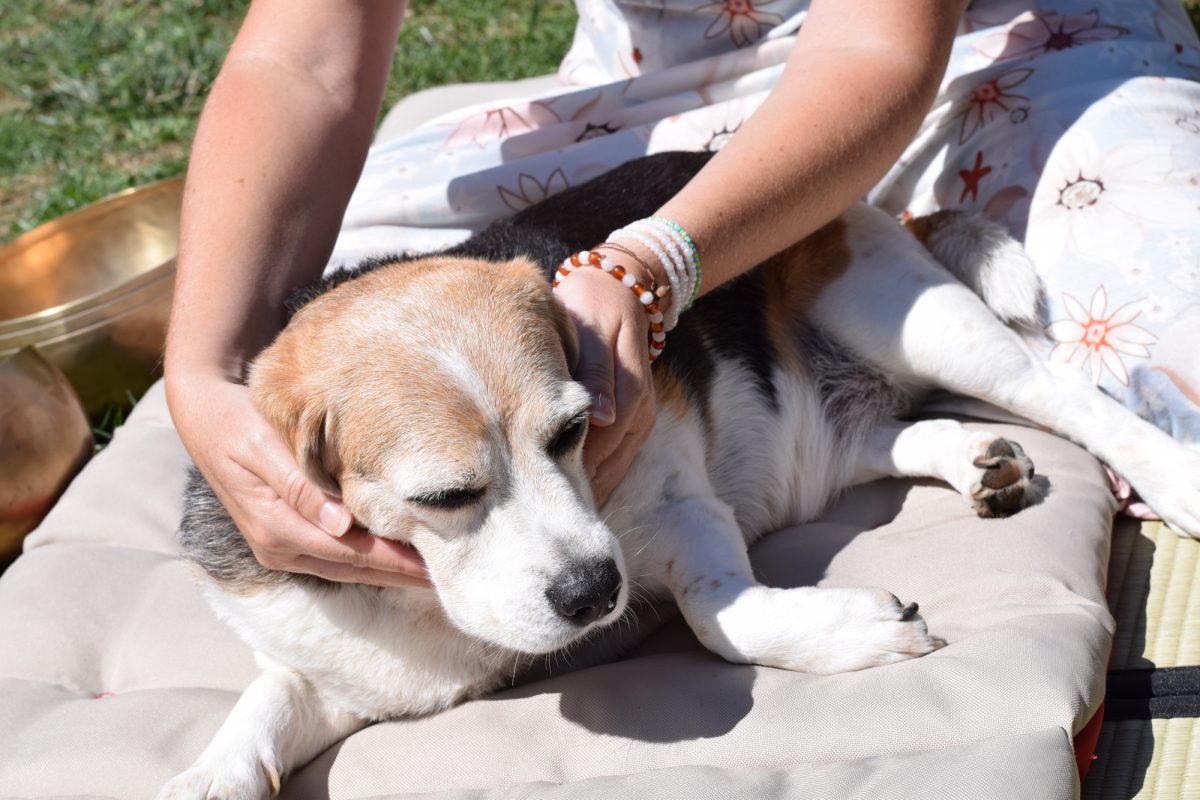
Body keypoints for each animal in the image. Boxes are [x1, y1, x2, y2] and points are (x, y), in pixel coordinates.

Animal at [162, 153, 1200, 796]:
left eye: (575, 430)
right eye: (444, 498)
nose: (595, 592)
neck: (433, 608)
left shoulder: (680, 510)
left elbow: (718, 617)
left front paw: (857, 631)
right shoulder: (342, 668)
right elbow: (267, 697)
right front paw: (209, 773)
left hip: (910, 317)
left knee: (1068, 395)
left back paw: (1171, 476)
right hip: (837, 430)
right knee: (900, 434)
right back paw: (978, 463)